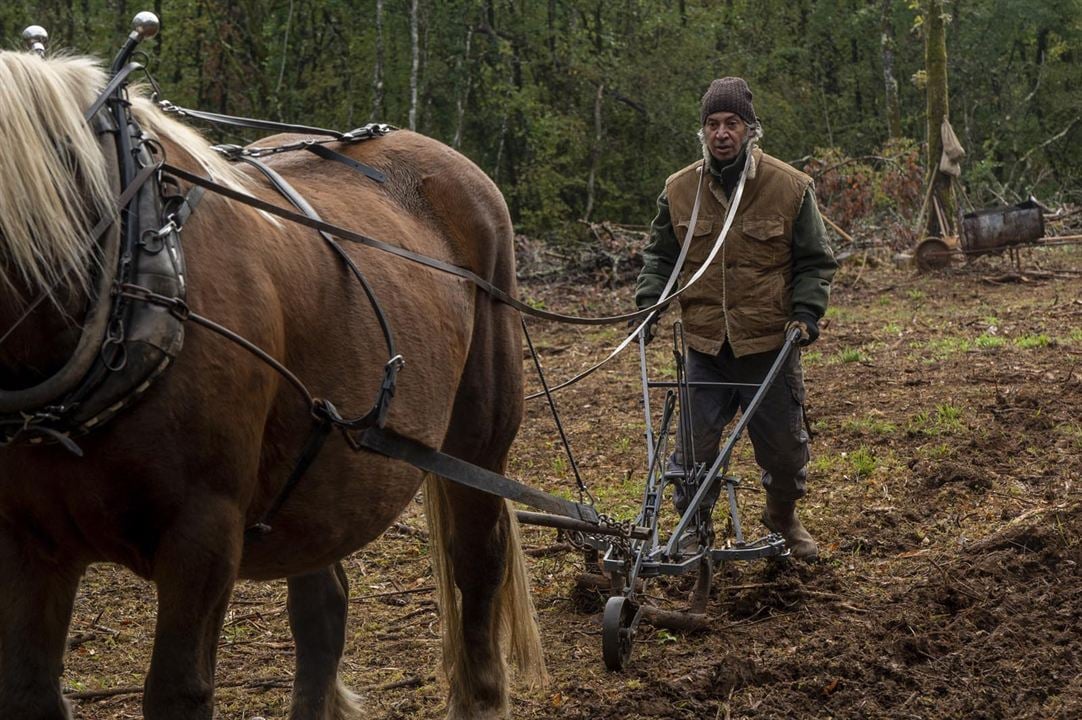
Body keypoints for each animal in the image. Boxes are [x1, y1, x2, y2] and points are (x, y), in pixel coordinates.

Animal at [0, 50, 545, 718]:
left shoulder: (203, 537)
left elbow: (177, 690)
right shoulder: (26, 541)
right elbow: (28, 690)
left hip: (478, 443)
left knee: (478, 560)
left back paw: (483, 695)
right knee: (323, 606)